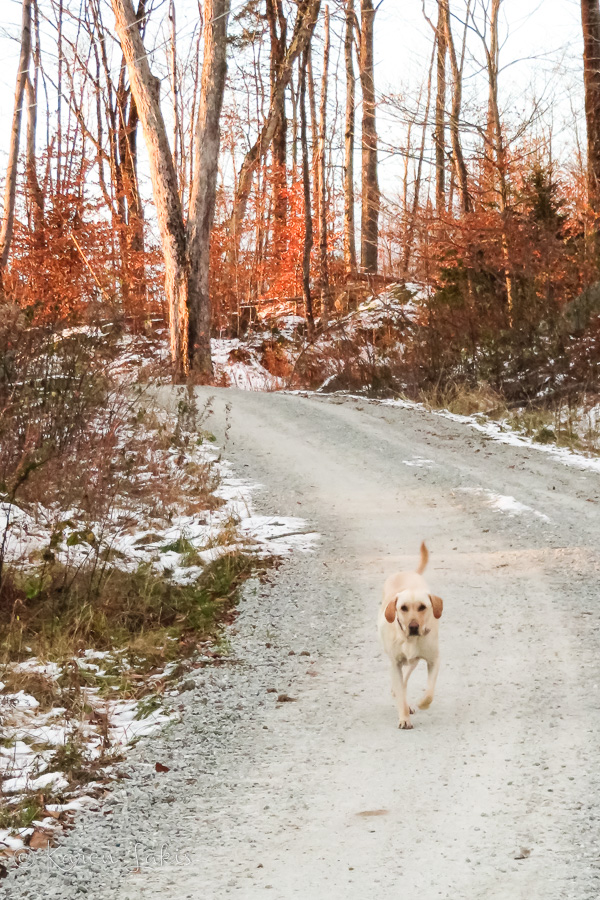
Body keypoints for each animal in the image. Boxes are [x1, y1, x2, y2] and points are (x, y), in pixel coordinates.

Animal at [378, 544, 442, 728]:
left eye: (422, 607)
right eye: (403, 608)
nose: (413, 627)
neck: (410, 639)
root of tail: (409, 572)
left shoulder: (433, 660)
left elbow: (429, 692)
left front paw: (422, 703)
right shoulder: (395, 663)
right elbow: (400, 693)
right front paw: (404, 718)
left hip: (413, 661)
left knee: (406, 678)